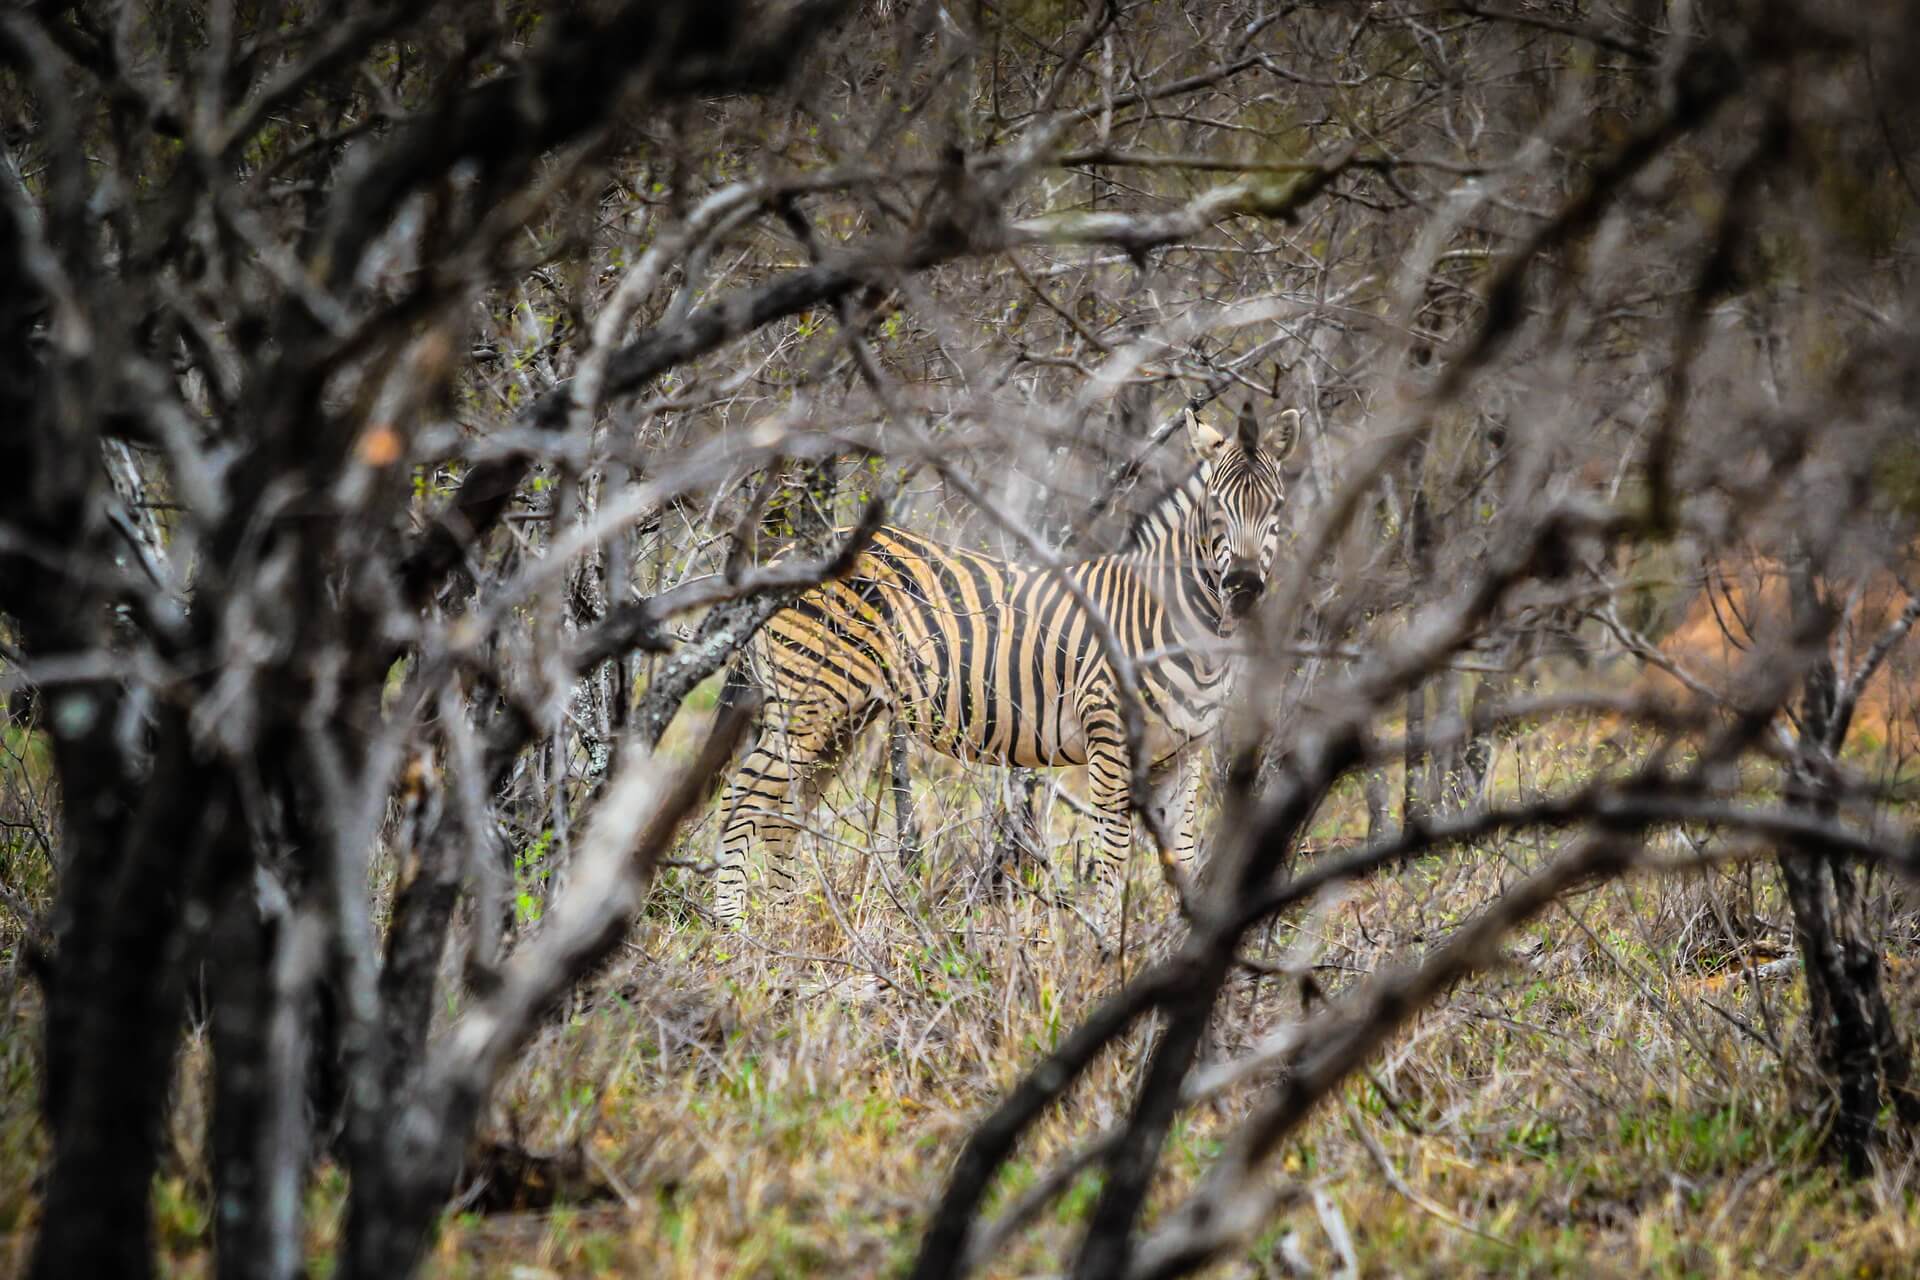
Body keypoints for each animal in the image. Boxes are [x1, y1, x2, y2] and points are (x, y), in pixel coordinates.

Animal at [714, 402, 1297, 932]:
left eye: (1277, 507)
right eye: (1216, 506)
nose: (1244, 588)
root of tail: (783, 553)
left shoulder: (1184, 755)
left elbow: (1184, 859)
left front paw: (1178, 951)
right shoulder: (1108, 741)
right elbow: (1112, 858)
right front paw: (1103, 954)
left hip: (844, 716)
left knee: (783, 815)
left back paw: (787, 925)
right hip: (808, 705)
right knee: (742, 800)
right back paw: (733, 935)